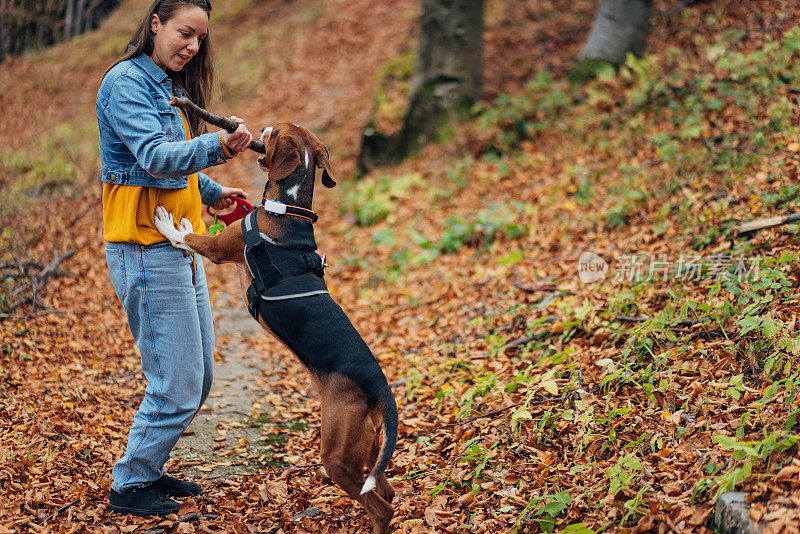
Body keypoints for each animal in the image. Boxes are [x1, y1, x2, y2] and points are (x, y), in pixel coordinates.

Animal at [152, 123, 396, 532]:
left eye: (275, 130)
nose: (258, 128)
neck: (286, 209)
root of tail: (379, 386)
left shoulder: (220, 249)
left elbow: (192, 238)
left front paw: (171, 223)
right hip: (369, 453)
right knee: (388, 491)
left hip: (338, 454)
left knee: (382, 507)